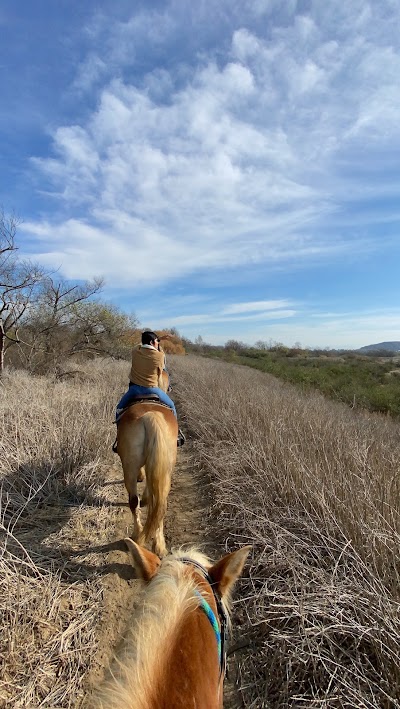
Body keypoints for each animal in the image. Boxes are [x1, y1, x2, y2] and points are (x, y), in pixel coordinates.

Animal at [116, 368, 177, 556]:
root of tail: (151, 415)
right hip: (165, 467)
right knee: (160, 502)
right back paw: (158, 544)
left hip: (129, 466)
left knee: (134, 501)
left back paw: (137, 536)